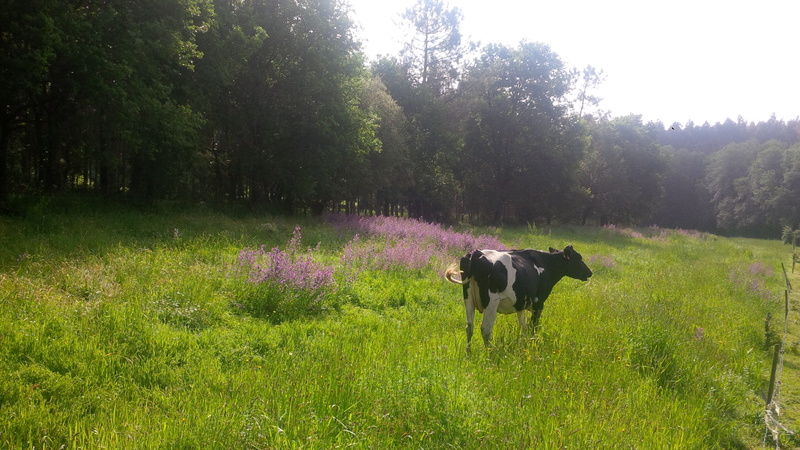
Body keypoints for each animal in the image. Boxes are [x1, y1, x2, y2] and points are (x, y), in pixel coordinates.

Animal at [444, 245, 593, 351]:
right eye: (579, 258)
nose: (590, 272)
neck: (546, 264)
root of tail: (476, 253)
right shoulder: (539, 303)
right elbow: (534, 326)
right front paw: (533, 344)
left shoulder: (521, 303)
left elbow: (523, 326)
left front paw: (524, 344)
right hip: (491, 302)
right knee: (486, 328)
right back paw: (490, 353)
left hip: (468, 298)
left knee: (469, 327)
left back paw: (468, 353)